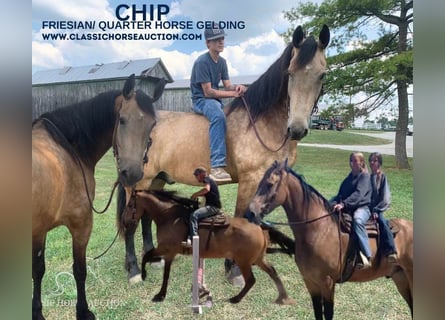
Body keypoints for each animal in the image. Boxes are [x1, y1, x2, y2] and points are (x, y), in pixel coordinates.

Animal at [31, 75, 165, 320]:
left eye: (152, 125)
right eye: (122, 120)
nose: (132, 173)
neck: (68, 149)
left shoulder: (39, 230)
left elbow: (38, 270)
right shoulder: (81, 224)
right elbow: (79, 270)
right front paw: (83, 311)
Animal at [116, 25, 332, 284]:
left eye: (322, 75)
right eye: (290, 73)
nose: (297, 128)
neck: (261, 123)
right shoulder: (249, 181)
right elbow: (242, 217)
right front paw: (235, 270)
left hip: (156, 179)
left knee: (146, 216)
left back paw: (154, 258)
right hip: (137, 181)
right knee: (131, 222)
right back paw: (133, 270)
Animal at [121, 190, 294, 304]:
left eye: (129, 205)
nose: (124, 222)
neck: (169, 216)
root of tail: (260, 227)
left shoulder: (167, 250)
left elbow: (151, 260)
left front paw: (150, 283)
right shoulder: (168, 252)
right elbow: (156, 264)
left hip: (244, 261)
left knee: (251, 280)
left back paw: (236, 298)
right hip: (257, 258)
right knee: (272, 272)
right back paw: (282, 297)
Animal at [248, 159, 414, 318]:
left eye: (270, 184)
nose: (250, 213)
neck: (319, 230)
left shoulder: (327, 282)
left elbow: (328, 313)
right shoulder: (310, 281)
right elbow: (317, 312)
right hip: (400, 278)